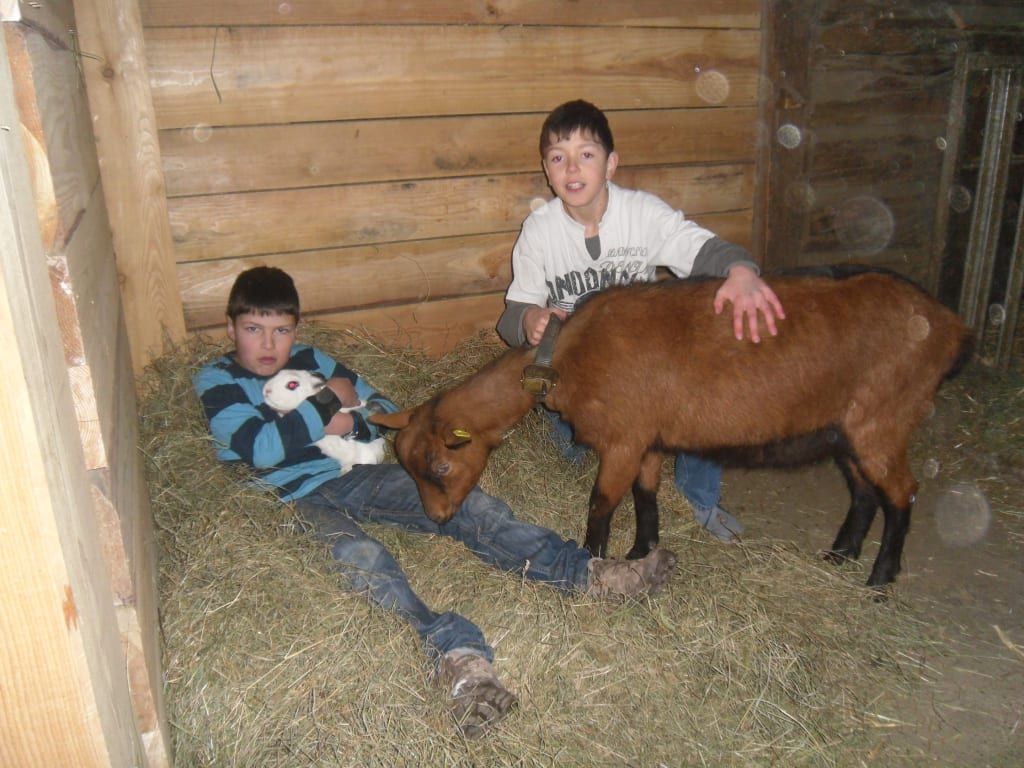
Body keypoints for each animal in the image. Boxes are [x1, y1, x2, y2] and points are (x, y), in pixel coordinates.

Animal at [370, 267, 973, 589]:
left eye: (441, 465)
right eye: (408, 466)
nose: (437, 518)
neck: (564, 357)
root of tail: (949, 326)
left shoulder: (623, 437)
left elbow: (602, 504)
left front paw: (594, 562)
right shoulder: (650, 439)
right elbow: (646, 496)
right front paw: (644, 552)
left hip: (884, 419)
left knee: (903, 493)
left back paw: (880, 579)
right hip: (845, 428)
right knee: (866, 492)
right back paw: (841, 555)